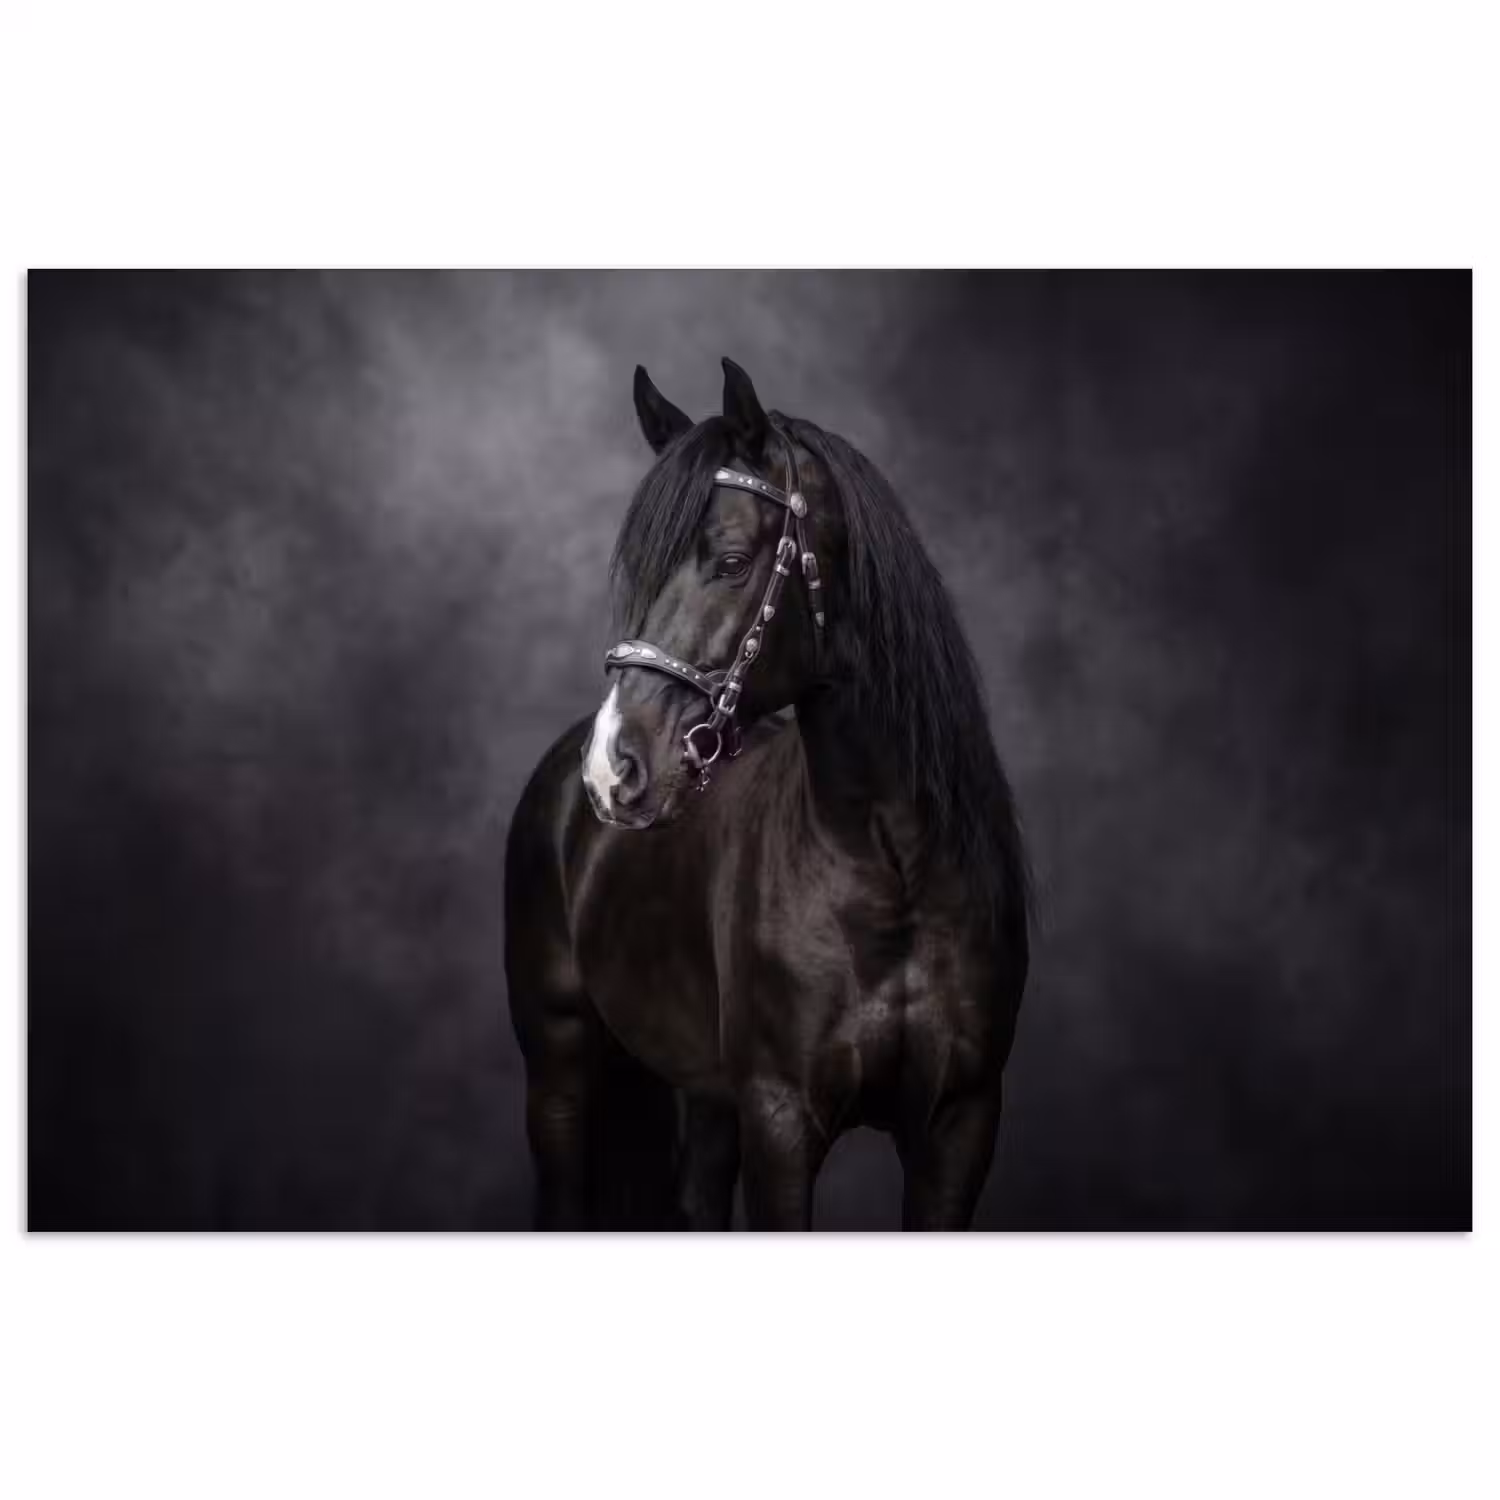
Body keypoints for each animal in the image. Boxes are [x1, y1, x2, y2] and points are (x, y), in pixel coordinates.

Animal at [504, 358, 1030, 1229]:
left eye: (729, 560)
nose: (614, 766)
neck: (893, 868)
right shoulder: (780, 1118)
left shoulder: (961, 1123)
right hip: (559, 1073)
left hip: (707, 1094)